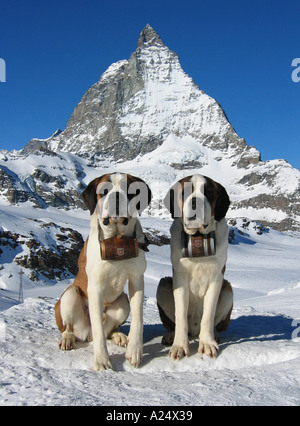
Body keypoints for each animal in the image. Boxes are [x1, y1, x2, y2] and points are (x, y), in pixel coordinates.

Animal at [54, 172, 151, 370]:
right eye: (104, 191)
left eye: (128, 190)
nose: (116, 197)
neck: (117, 238)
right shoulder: (95, 287)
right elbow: (98, 327)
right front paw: (102, 360)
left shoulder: (137, 280)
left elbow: (138, 319)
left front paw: (135, 351)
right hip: (70, 295)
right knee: (74, 328)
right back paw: (67, 339)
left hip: (123, 301)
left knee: (109, 329)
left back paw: (118, 335)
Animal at [158, 173, 233, 360]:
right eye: (185, 192)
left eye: (209, 192)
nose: (195, 202)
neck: (198, 236)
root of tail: (194, 331)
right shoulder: (180, 278)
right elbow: (180, 314)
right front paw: (179, 346)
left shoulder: (216, 279)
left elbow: (208, 314)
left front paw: (207, 343)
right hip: (163, 284)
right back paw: (171, 335)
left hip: (228, 289)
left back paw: (214, 335)